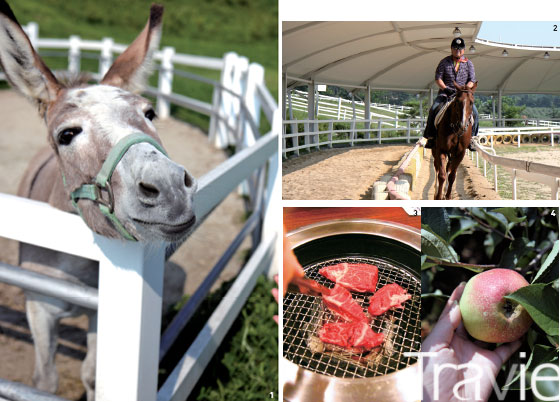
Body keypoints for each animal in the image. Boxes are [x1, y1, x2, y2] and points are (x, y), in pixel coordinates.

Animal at [0, 1, 197, 398]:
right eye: (66, 135)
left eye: (150, 113)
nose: (169, 187)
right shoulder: (39, 309)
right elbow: (45, 381)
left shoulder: (98, 312)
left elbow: (92, 375)